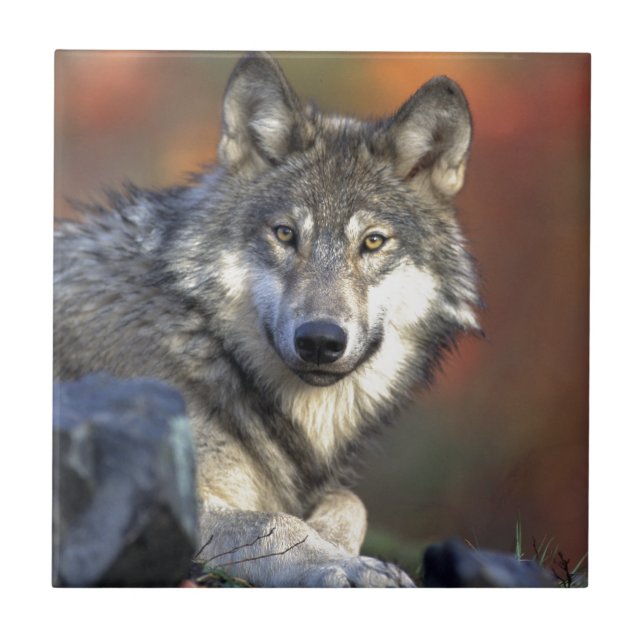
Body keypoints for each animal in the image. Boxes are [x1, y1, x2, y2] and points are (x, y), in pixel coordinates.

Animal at [54, 52, 480, 587]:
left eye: (373, 242)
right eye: (285, 234)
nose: (320, 340)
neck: (206, 343)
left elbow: (349, 501)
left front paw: (336, 541)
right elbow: (274, 523)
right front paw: (348, 565)